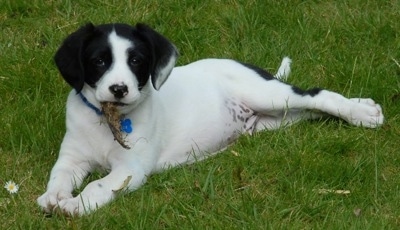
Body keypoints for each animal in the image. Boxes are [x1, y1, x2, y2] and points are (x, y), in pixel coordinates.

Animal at [37, 22, 384, 215]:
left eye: (136, 61)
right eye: (99, 61)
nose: (119, 89)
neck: (106, 120)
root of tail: (252, 66)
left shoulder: (130, 169)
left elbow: (98, 186)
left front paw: (75, 205)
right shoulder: (73, 157)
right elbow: (59, 175)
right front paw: (54, 196)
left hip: (270, 95)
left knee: (317, 95)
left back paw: (363, 113)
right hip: (276, 120)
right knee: (312, 110)